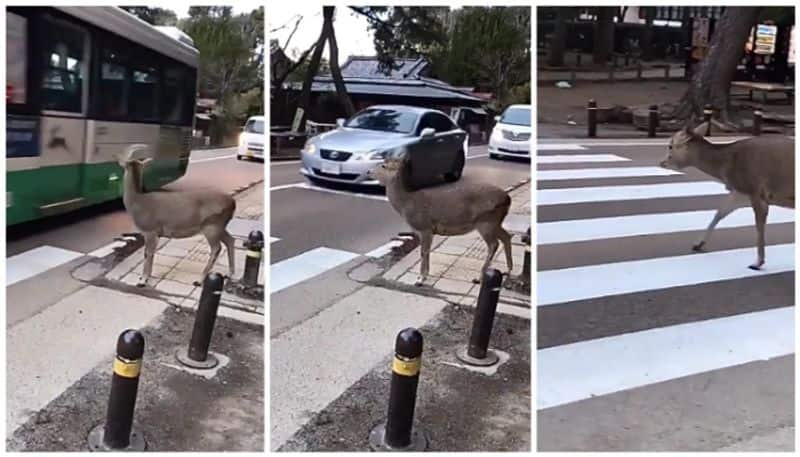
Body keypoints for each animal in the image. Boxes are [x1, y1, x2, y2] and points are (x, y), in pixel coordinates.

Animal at [118, 144, 238, 286]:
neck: (137, 202)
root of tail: (233, 203)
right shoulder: (156, 233)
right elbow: (151, 253)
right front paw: (148, 276)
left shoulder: (150, 230)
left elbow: (147, 253)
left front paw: (142, 280)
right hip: (220, 225)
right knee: (230, 240)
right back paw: (230, 274)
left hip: (212, 225)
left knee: (216, 248)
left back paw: (200, 280)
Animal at [368, 152, 512, 284]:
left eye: (384, 165)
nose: (369, 171)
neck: (406, 205)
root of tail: (508, 199)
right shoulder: (425, 230)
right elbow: (426, 251)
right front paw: (424, 275)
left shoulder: (424, 226)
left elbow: (423, 251)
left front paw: (420, 279)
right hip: (495, 222)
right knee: (506, 236)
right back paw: (508, 269)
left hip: (486, 221)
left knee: (494, 244)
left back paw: (480, 277)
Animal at [656, 123, 792, 268]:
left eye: (670, 145)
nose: (662, 162)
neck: (726, 169)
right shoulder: (740, 191)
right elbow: (720, 213)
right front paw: (698, 244)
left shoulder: (754, 189)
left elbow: (759, 225)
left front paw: (758, 262)